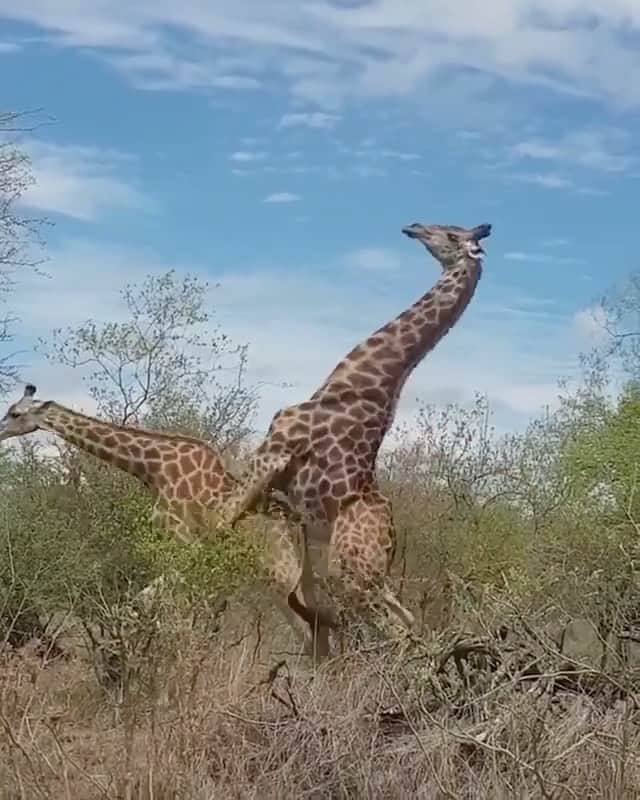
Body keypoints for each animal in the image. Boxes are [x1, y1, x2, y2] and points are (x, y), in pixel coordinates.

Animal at [0, 384, 334, 659]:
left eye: (15, 413)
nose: (0, 431)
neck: (151, 468)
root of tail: (297, 527)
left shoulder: (183, 541)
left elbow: (157, 606)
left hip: (278, 579)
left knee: (308, 636)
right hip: (296, 580)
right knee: (318, 634)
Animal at [218, 222, 492, 633]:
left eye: (448, 234)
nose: (413, 227)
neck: (355, 381)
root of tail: (391, 545)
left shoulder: (273, 453)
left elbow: (217, 522)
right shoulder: (283, 490)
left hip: (348, 570)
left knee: (392, 624)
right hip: (368, 574)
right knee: (407, 620)